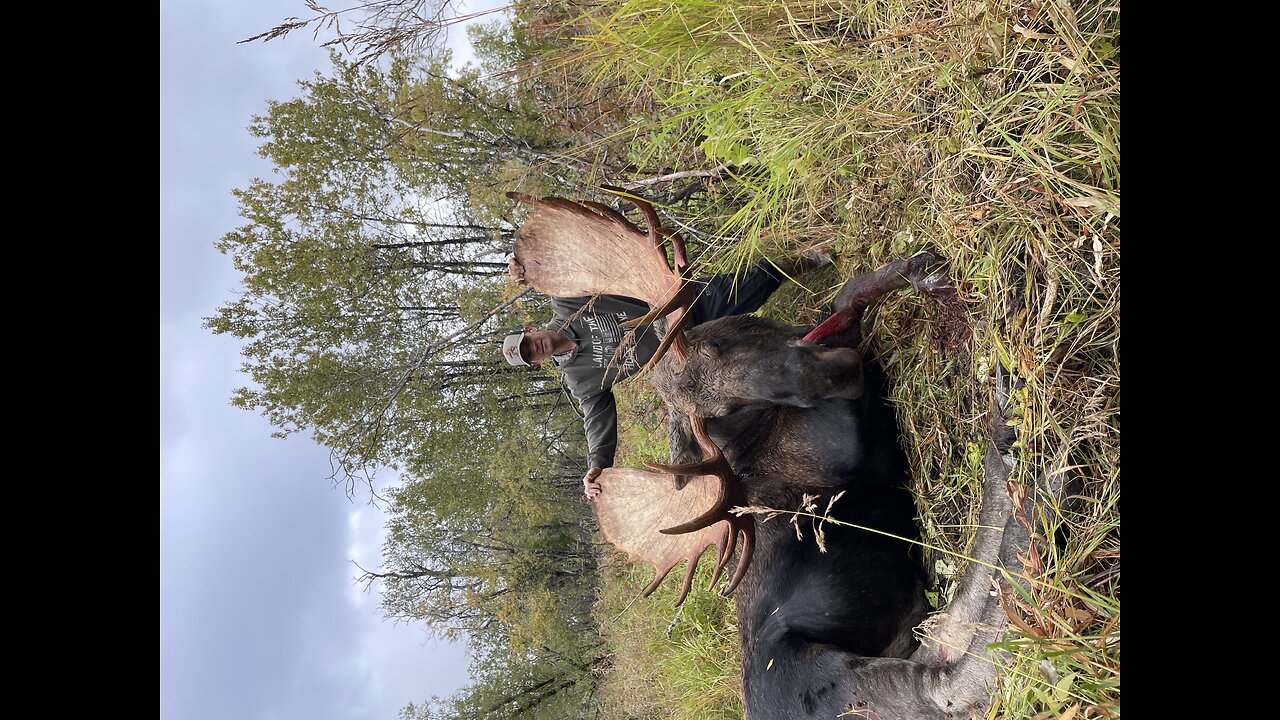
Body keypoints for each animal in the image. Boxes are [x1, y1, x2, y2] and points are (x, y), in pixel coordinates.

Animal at [506, 190, 1029, 717]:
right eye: (721, 411)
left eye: (716, 345)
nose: (830, 374)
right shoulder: (850, 439)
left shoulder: (833, 337)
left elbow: (852, 292)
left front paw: (924, 268)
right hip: (848, 676)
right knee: (955, 673)